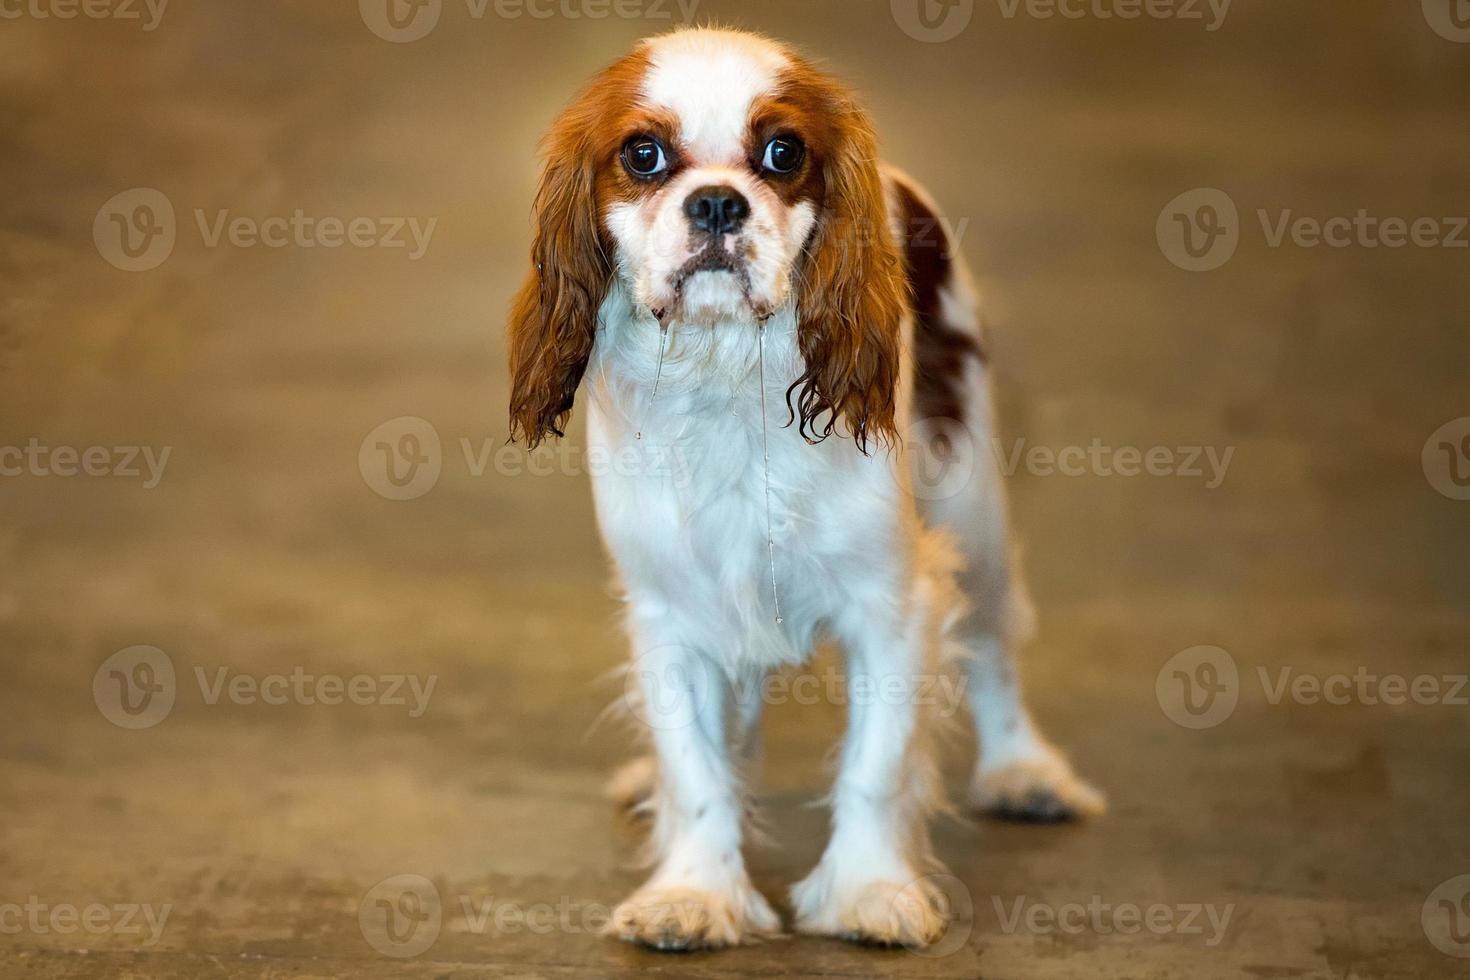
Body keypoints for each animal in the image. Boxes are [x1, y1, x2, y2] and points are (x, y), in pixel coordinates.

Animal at [508, 26, 1105, 952]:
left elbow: (875, 765)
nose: (718, 203)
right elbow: (697, 770)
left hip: (973, 510)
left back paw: (1024, 771)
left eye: (782, 153)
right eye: (643, 155)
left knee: (994, 642)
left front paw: (869, 892)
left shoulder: (892, 604)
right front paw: (694, 894)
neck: (727, 371)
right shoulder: (671, 613)